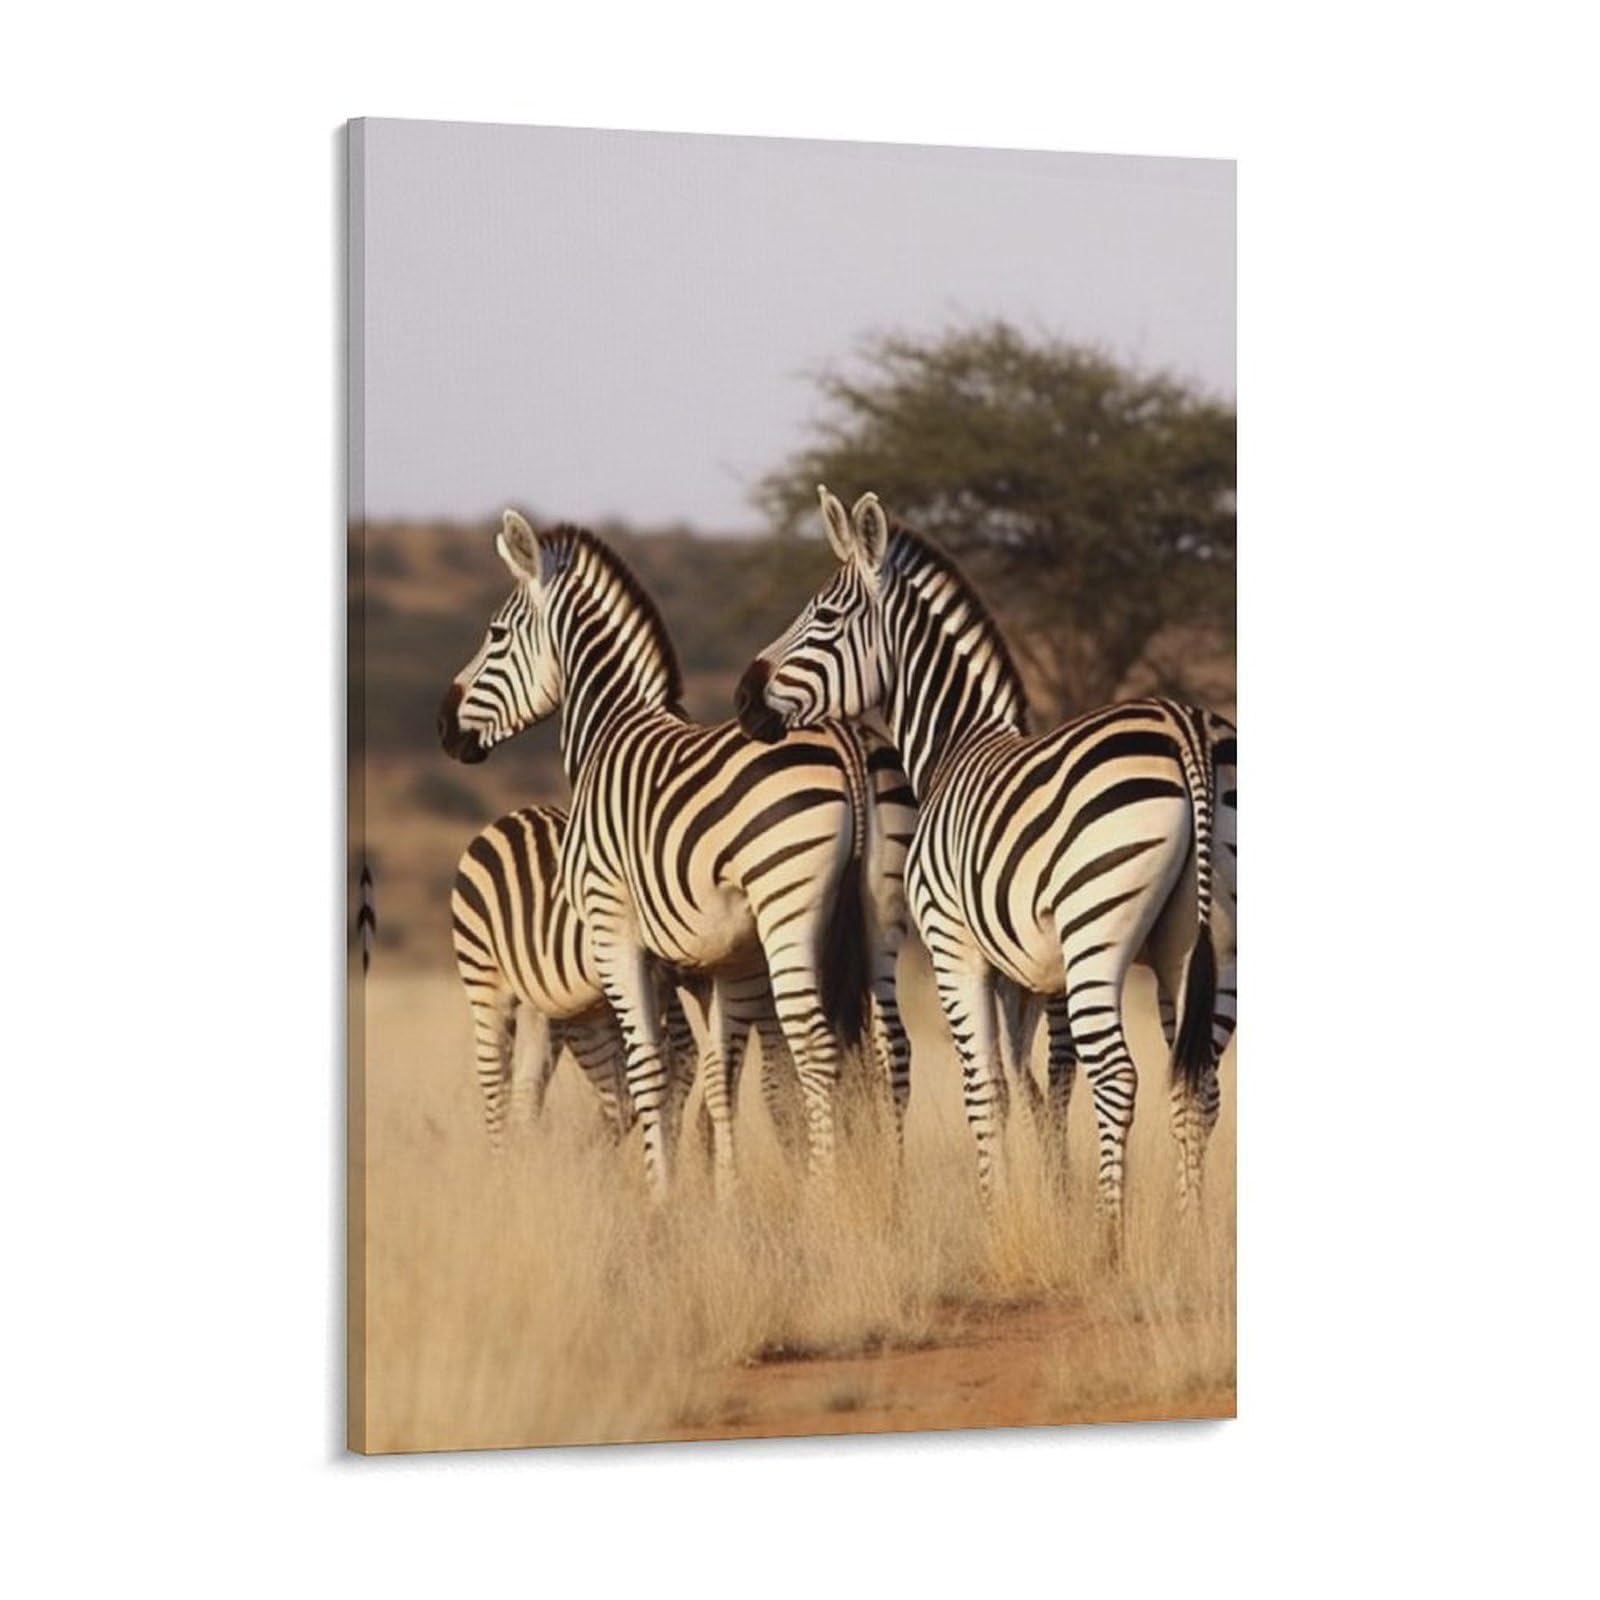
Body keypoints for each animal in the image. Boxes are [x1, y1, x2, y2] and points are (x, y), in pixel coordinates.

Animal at [438, 511, 915, 1200]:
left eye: (496, 635)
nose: (443, 727)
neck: (608, 731)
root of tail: (848, 735)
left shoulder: (615, 928)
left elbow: (652, 1069)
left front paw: (662, 1196)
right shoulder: (722, 963)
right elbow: (717, 1079)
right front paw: (721, 1199)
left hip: (783, 908)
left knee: (815, 1046)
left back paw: (825, 1196)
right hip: (881, 909)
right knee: (891, 1047)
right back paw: (890, 1192)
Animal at [736, 488, 1237, 1247]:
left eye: (823, 616)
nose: (742, 700)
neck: (953, 747)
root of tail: (1183, 724)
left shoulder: (953, 944)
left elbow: (983, 1086)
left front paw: (994, 1215)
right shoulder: (1017, 972)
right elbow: (1019, 1085)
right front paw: (1023, 1207)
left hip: (1096, 933)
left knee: (1120, 1077)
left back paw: (1110, 1240)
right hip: (1208, 945)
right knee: (1197, 1084)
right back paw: (1189, 1234)